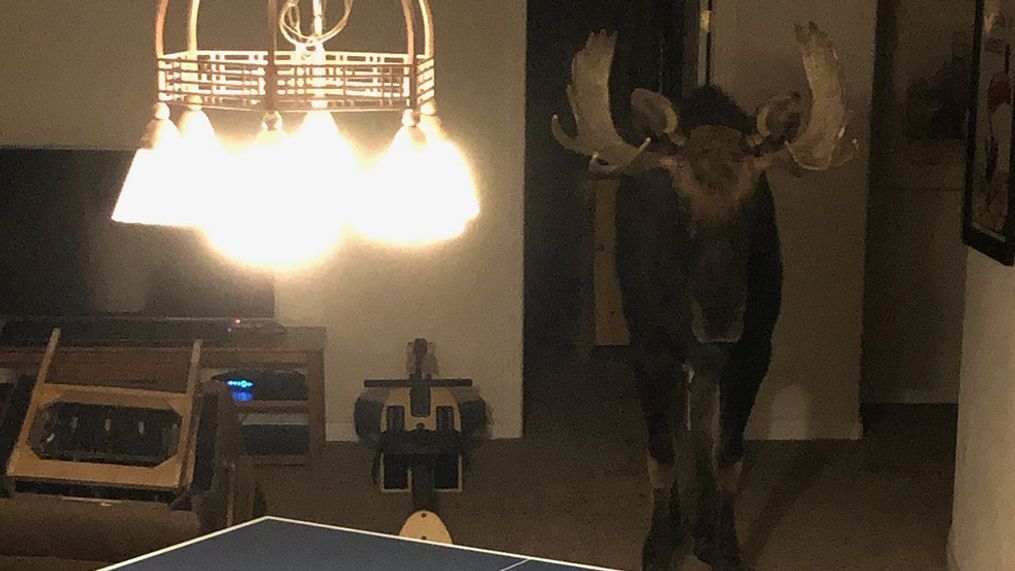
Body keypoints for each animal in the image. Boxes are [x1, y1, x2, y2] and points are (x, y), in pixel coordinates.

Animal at [552, 20, 852, 567]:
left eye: (756, 196)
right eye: (678, 196)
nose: (719, 314)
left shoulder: (754, 349)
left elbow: (727, 455)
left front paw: (722, 542)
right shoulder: (650, 347)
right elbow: (661, 453)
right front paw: (658, 542)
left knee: (703, 437)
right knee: (680, 432)